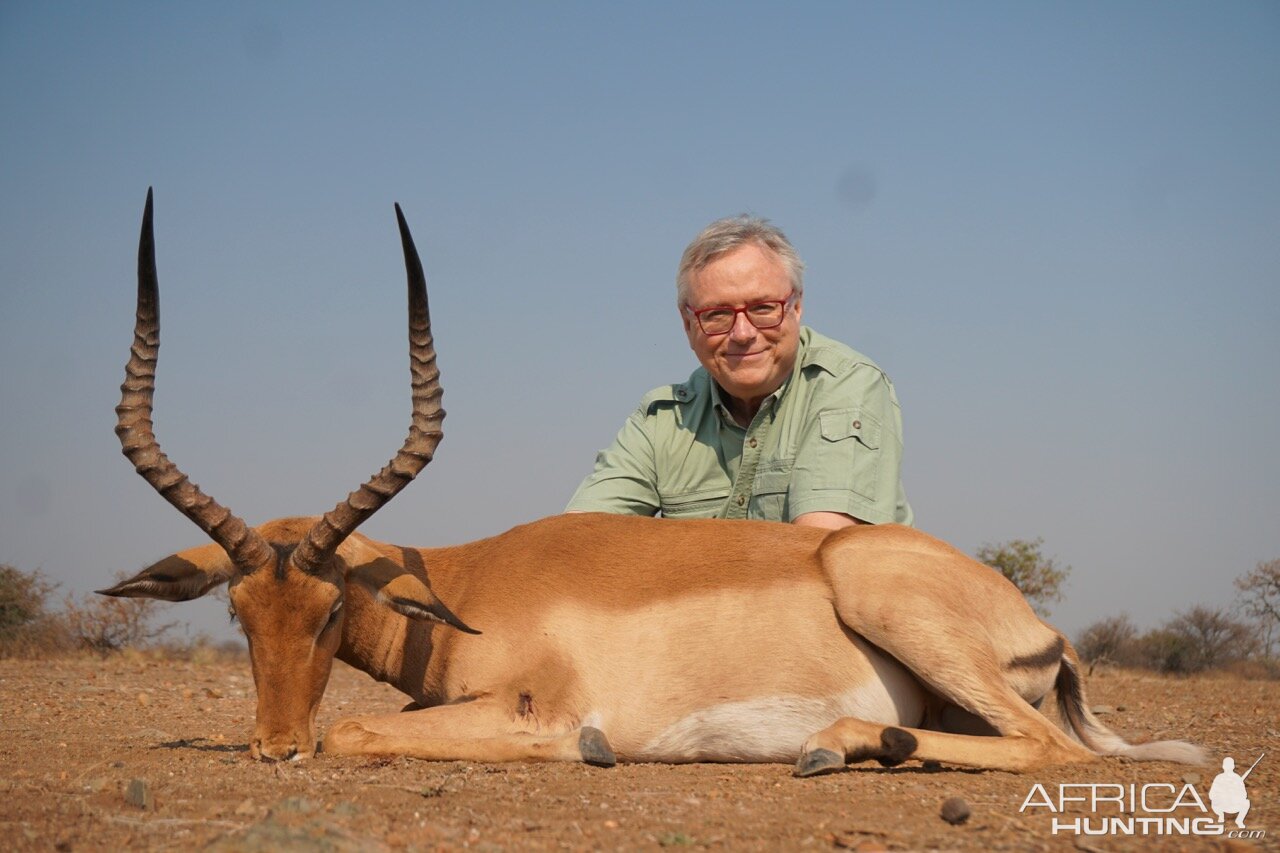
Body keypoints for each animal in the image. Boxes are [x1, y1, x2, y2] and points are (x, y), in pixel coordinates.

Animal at [97, 190, 1198, 768]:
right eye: (240, 614)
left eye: (329, 610)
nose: (275, 746)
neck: (472, 587)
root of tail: (1039, 627)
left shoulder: (534, 713)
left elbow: (363, 726)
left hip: (882, 596)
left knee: (1053, 750)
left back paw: (836, 741)